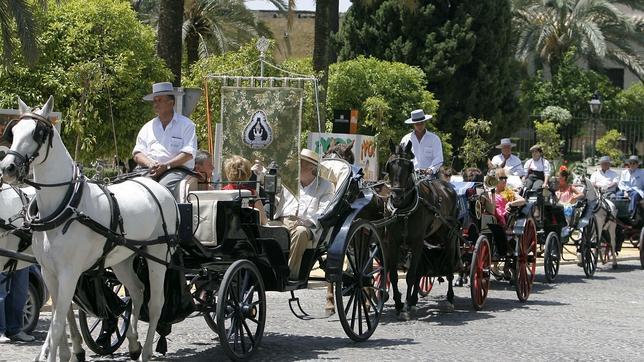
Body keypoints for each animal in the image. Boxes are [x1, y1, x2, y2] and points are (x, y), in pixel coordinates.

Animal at [0, 97, 177, 362]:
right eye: (14, 132)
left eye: (38, 133)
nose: (8, 168)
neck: (65, 206)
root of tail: (157, 186)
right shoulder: (49, 272)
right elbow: (60, 317)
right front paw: (67, 352)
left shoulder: (69, 273)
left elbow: (58, 321)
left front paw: (57, 353)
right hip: (123, 258)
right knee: (137, 291)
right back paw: (133, 343)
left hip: (158, 254)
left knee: (156, 303)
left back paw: (146, 351)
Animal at [384, 140, 460, 318]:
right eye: (389, 166)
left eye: (409, 166)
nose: (397, 196)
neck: (403, 210)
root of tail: (448, 187)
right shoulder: (393, 241)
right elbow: (394, 274)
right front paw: (399, 303)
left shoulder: (417, 241)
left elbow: (411, 275)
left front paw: (405, 307)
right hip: (429, 238)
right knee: (420, 270)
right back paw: (413, 301)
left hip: (449, 237)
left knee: (450, 267)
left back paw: (450, 299)